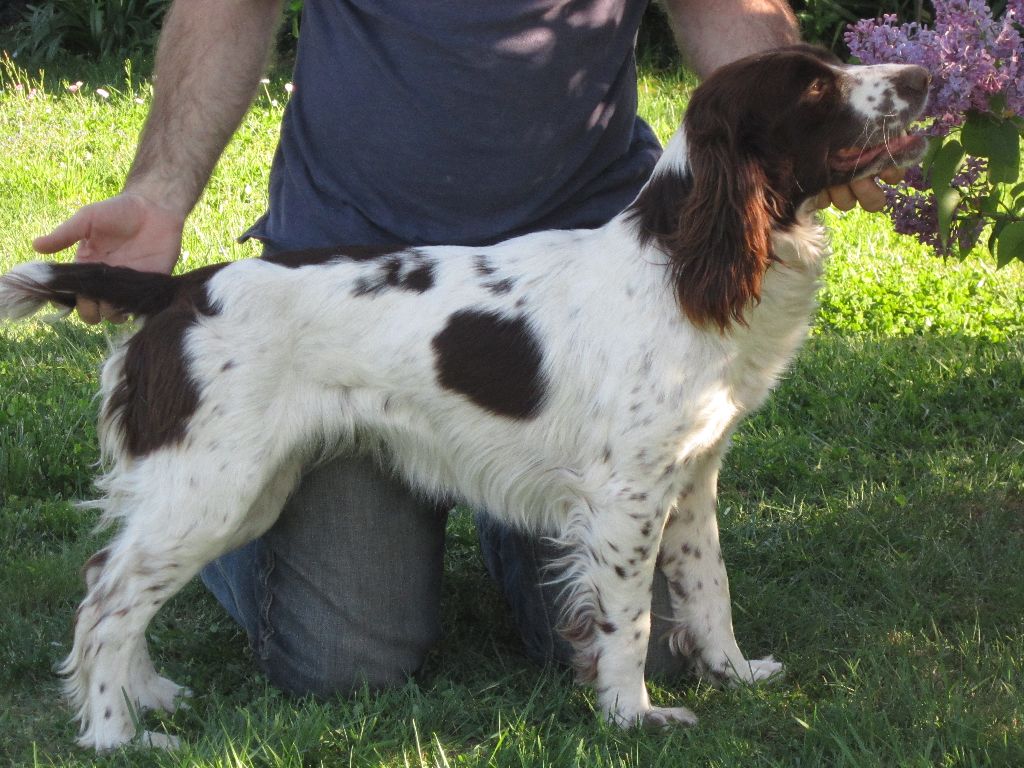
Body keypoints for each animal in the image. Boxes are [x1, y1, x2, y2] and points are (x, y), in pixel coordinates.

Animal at [0, 43, 929, 753]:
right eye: (813, 88)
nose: (923, 76)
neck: (677, 264)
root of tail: (177, 290)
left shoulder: (692, 477)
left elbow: (710, 589)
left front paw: (736, 675)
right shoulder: (624, 497)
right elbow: (629, 621)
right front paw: (633, 717)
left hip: (242, 492)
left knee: (110, 582)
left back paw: (149, 695)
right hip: (212, 488)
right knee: (106, 601)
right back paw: (116, 735)